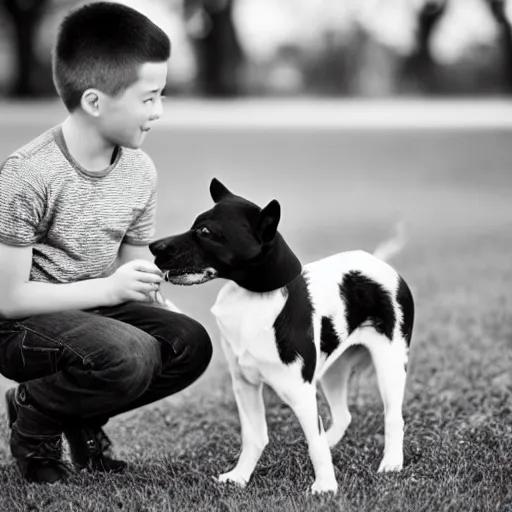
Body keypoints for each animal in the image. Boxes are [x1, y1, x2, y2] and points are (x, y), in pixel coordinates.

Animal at [150, 180, 414, 496]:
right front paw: (240, 477)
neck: (252, 299)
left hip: (389, 365)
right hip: (333, 372)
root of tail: (380, 263)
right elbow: (255, 436)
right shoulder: (245, 384)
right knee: (343, 416)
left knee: (393, 416)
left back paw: (391, 463)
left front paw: (325, 487)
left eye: (205, 232)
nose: (153, 246)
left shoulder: (301, 392)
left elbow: (314, 445)